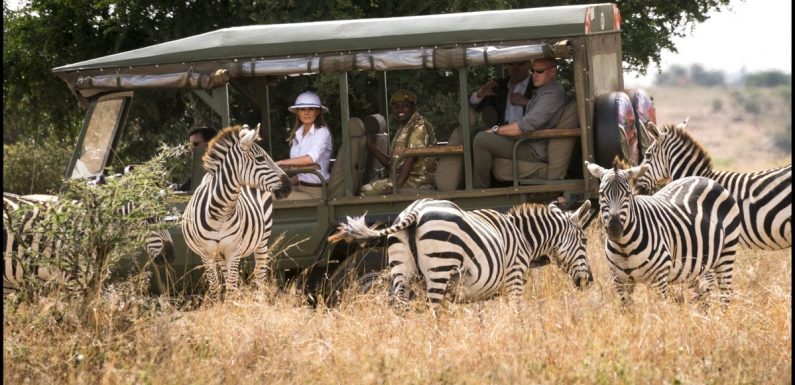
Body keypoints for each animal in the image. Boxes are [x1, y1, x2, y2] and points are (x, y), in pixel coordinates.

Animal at [2, 191, 177, 296]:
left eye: (165, 218)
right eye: (150, 220)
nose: (171, 257)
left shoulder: (96, 278)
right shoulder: (72, 279)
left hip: (8, 279)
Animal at [181, 124, 292, 298]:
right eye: (260, 159)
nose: (289, 186)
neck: (219, 212)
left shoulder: (234, 251)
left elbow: (231, 288)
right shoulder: (206, 254)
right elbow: (215, 288)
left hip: (262, 239)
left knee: (260, 274)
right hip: (220, 255)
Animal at [326, 198, 592, 306]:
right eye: (585, 241)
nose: (589, 282)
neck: (523, 236)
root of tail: (415, 210)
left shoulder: (473, 291)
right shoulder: (514, 278)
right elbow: (515, 312)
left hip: (401, 272)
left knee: (399, 307)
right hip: (439, 270)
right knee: (431, 312)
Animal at [584, 158, 748, 304]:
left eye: (628, 194)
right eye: (601, 193)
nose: (614, 229)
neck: (624, 247)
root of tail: (707, 179)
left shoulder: (659, 278)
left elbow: (658, 312)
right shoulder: (620, 281)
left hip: (727, 253)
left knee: (726, 294)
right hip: (698, 264)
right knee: (704, 293)